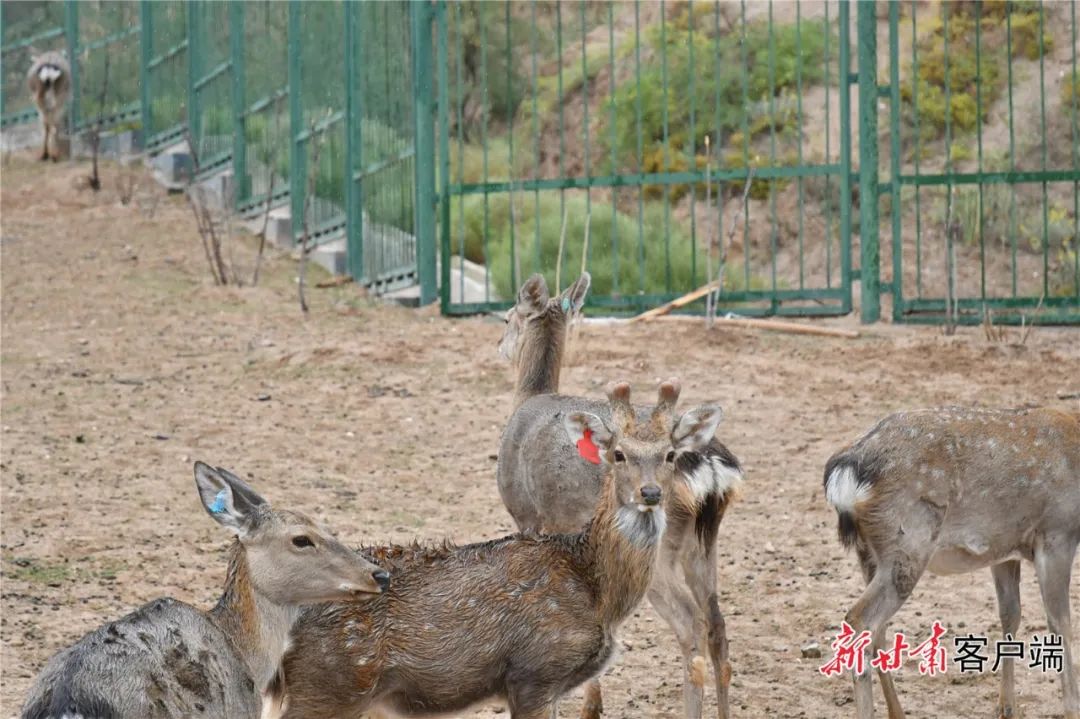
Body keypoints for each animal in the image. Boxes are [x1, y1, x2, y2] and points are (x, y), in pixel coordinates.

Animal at [278, 384, 725, 716]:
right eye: (619, 454)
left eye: (670, 454)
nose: (649, 493)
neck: (597, 590)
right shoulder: (535, 671)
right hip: (328, 686)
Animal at [494, 273, 743, 716]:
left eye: (507, 317)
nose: (498, 346)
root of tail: (711, 467)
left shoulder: (526, 517)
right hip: (704, 542)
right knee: (717, 624)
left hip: (658, 546)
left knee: (691, 622)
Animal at [820, 405, 1075, 716]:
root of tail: (845, 471)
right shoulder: (1057, 533)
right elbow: (1061, 623)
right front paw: (1072, 709)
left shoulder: (1003, 549)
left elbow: (1010, 615)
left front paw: (1007, 708)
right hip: (909, 543)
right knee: (860, 620)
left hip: (868, 553)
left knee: (877, 629)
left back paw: (898, 712)